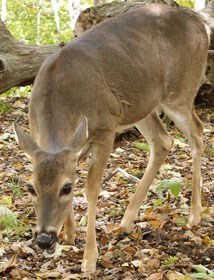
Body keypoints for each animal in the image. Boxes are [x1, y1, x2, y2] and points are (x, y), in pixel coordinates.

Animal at [13, 4, 209, 274]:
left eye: (66, 188)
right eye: (30, 187)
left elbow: (91, 188)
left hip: (180, 91)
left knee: (198, 133)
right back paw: (127, 221)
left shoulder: (106, 129)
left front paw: (89, 258)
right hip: (140, 105)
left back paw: (194, 214)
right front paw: (69, 234)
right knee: (163, 141)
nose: (44, 238)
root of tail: (200, 23)